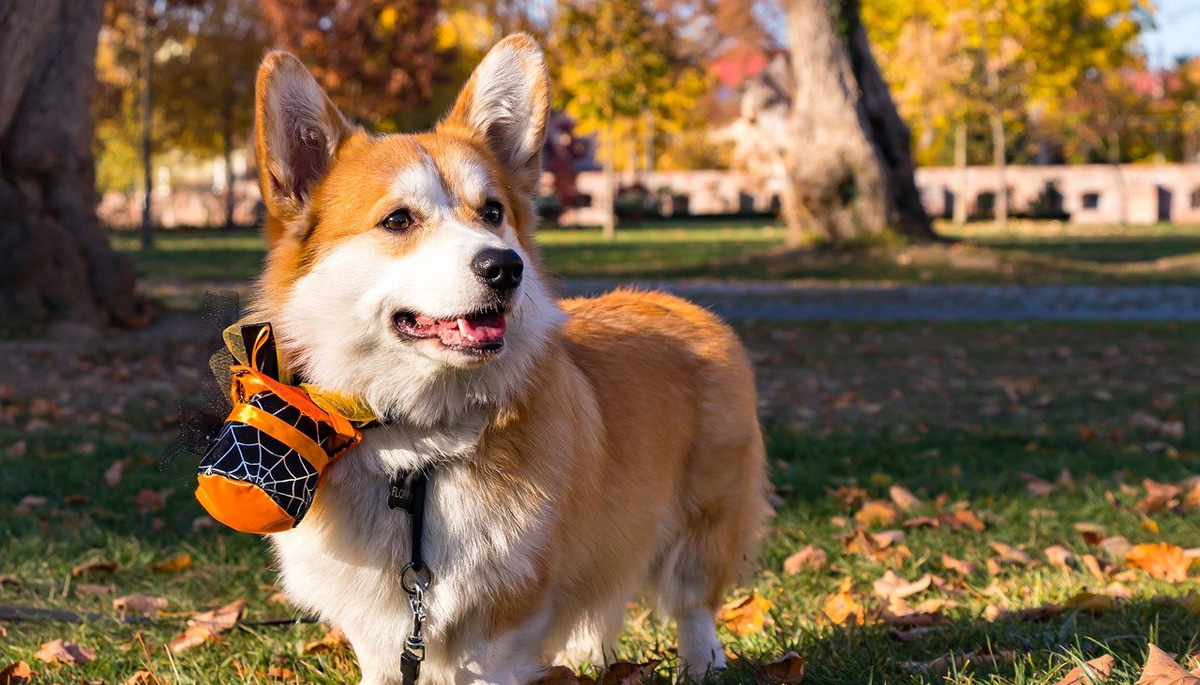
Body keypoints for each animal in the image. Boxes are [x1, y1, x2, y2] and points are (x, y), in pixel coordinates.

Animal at [253, 36, 768, 685]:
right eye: (398, 220)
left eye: (493, 212)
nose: (505, 267)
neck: (416, 445)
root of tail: (687, 306)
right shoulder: (380, 627)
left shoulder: (506, 617)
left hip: (702, 517)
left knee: (692, 601)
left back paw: (700, 662)